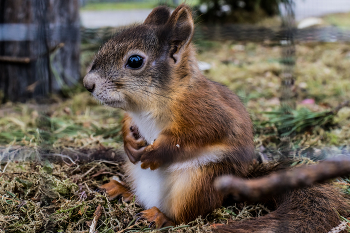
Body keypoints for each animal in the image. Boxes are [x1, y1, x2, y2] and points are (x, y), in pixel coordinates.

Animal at [82, 4, 350, 232]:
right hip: (134, 170)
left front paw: (155, 152)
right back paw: (121, 189)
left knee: (185, 215)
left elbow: (195, 135)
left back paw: (159, 215)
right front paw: (129, 138)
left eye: (135, 61)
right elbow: (129, 122)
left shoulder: (208, 112)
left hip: (197, 182)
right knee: (140, 196)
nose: (87, 84)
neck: (149, 104)